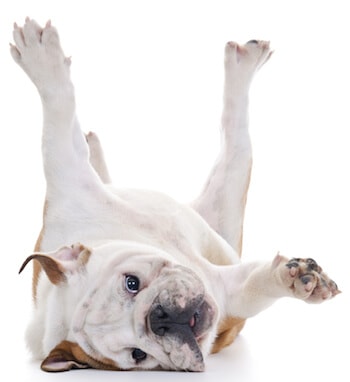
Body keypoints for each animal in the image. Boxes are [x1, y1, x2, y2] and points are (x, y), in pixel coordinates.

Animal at [10, 18, 340, 374]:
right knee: (236, 149)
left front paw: (42, 57)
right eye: (137, 355)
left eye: (131, 283)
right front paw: (293, 279)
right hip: (224, 211)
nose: (161, 319)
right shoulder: (228, 295)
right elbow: (253, 285)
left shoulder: (68, 183)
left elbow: (57, 119)